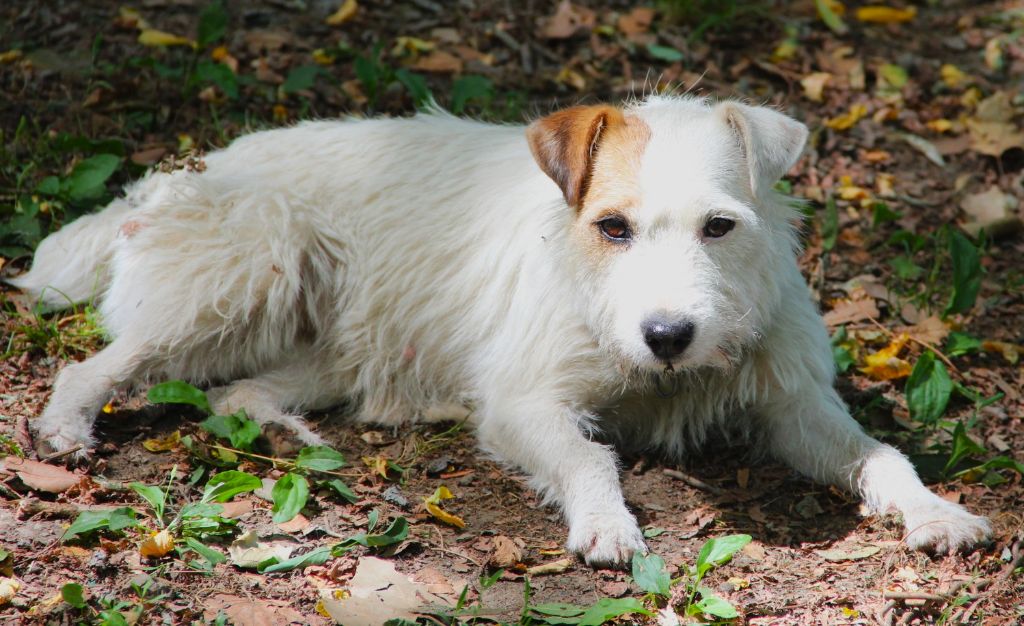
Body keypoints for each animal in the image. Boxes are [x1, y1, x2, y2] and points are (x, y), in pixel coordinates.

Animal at [12, 96, 987, 569]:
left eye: (720, 226)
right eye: (613, 227)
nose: (668, 333)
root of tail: (180, 172)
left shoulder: (796, 408)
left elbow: (883, 457)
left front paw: (936, 511)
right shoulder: (525, 404)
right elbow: (591, 456)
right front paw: (607, 524)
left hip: (330, 352)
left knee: (234, 392)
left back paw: (290, 434)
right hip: (246, 270)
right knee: (97, 366)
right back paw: (65, 430)